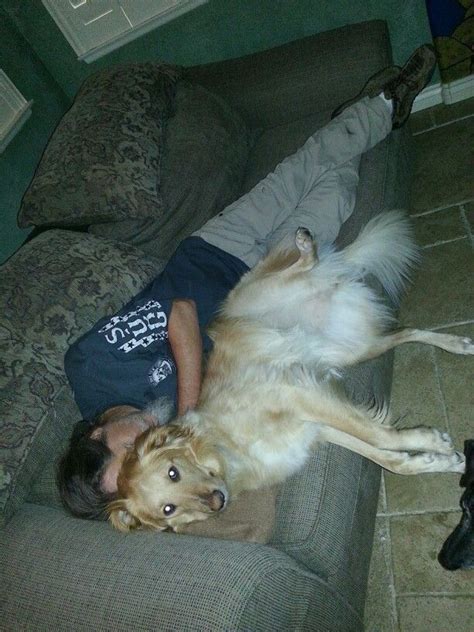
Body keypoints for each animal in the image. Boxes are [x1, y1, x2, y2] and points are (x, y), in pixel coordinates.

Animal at [108, 212, 474, 532]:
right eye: (168, 508)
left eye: (173, 473)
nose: (217, 501)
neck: (228, 449)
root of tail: (331, 281)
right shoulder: (315, 430)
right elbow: (388, 458)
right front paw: (441, 460)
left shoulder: (298, 393)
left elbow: (379, 435)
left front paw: (432, 442)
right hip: (354, 349)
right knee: (406, 331)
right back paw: (457, 343)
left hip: (257, 291)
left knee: (297, 268)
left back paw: (305, 244)